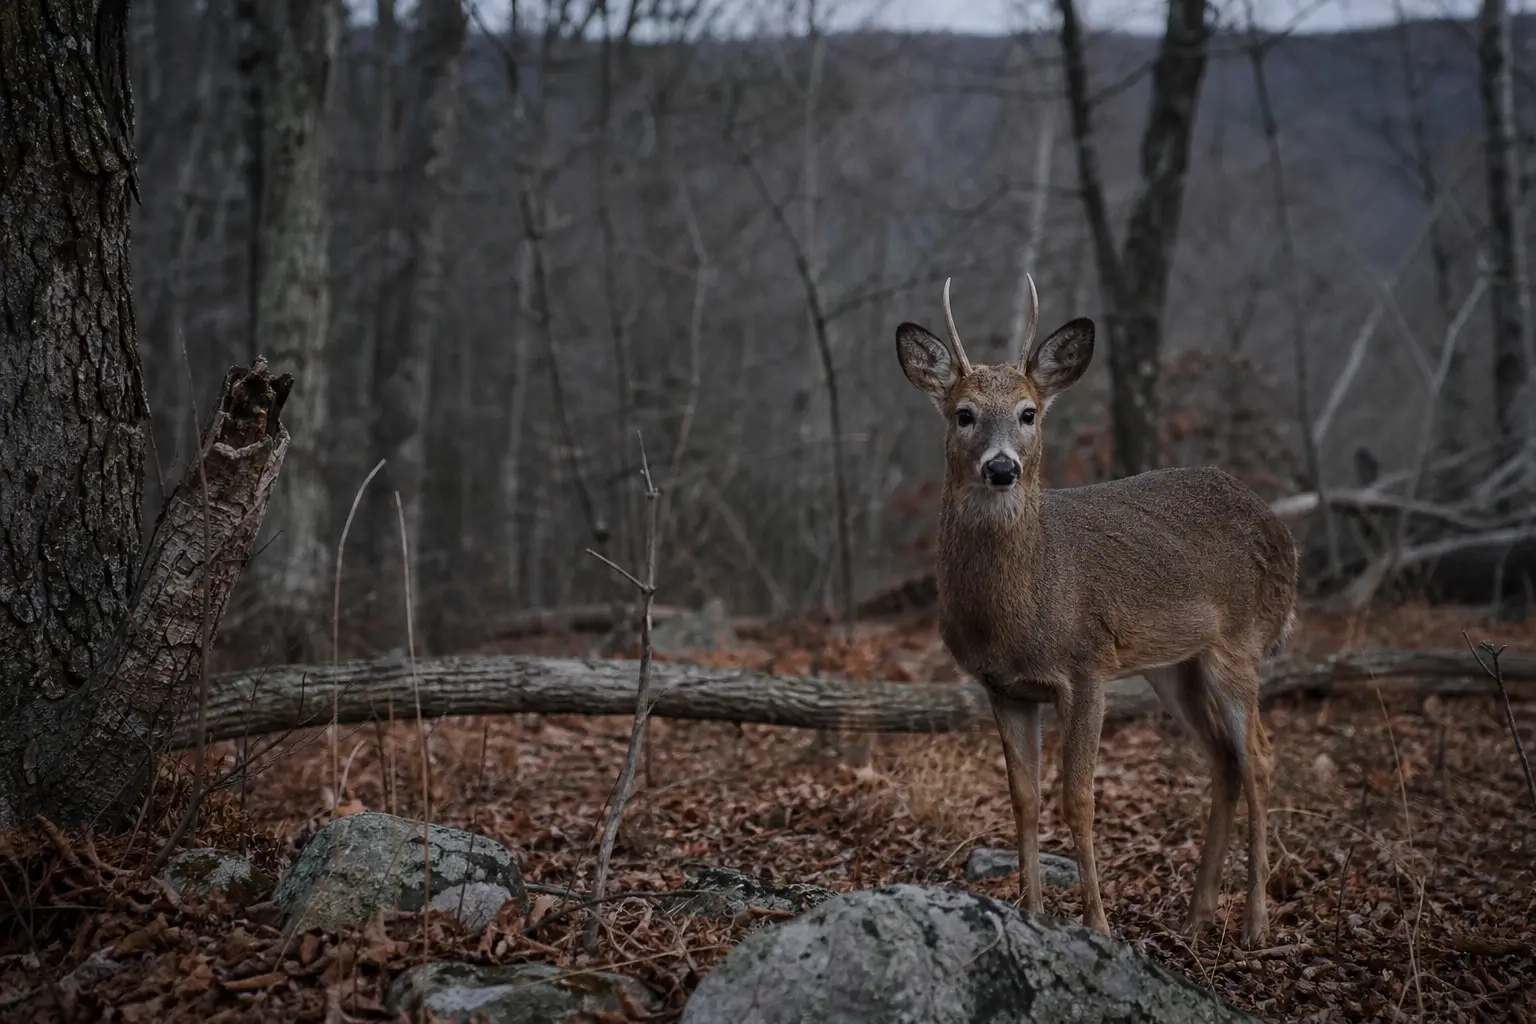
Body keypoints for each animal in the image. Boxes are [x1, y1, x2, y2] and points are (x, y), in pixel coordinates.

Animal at [894, 276, 1297, 946]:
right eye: (963, 413)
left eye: (1029, 413)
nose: (1001, 467)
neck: (1020, 608)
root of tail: (1284, 533)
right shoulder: (1003, 687)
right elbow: (1024, 798)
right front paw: (1030, 912)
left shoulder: (1085, 668)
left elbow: (1077, 799)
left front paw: (1098, 924)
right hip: (1173, 666)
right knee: (1223, 758)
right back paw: (1196, 914)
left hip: (1240, 644)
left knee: (1259, 756)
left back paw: (1255, 922)